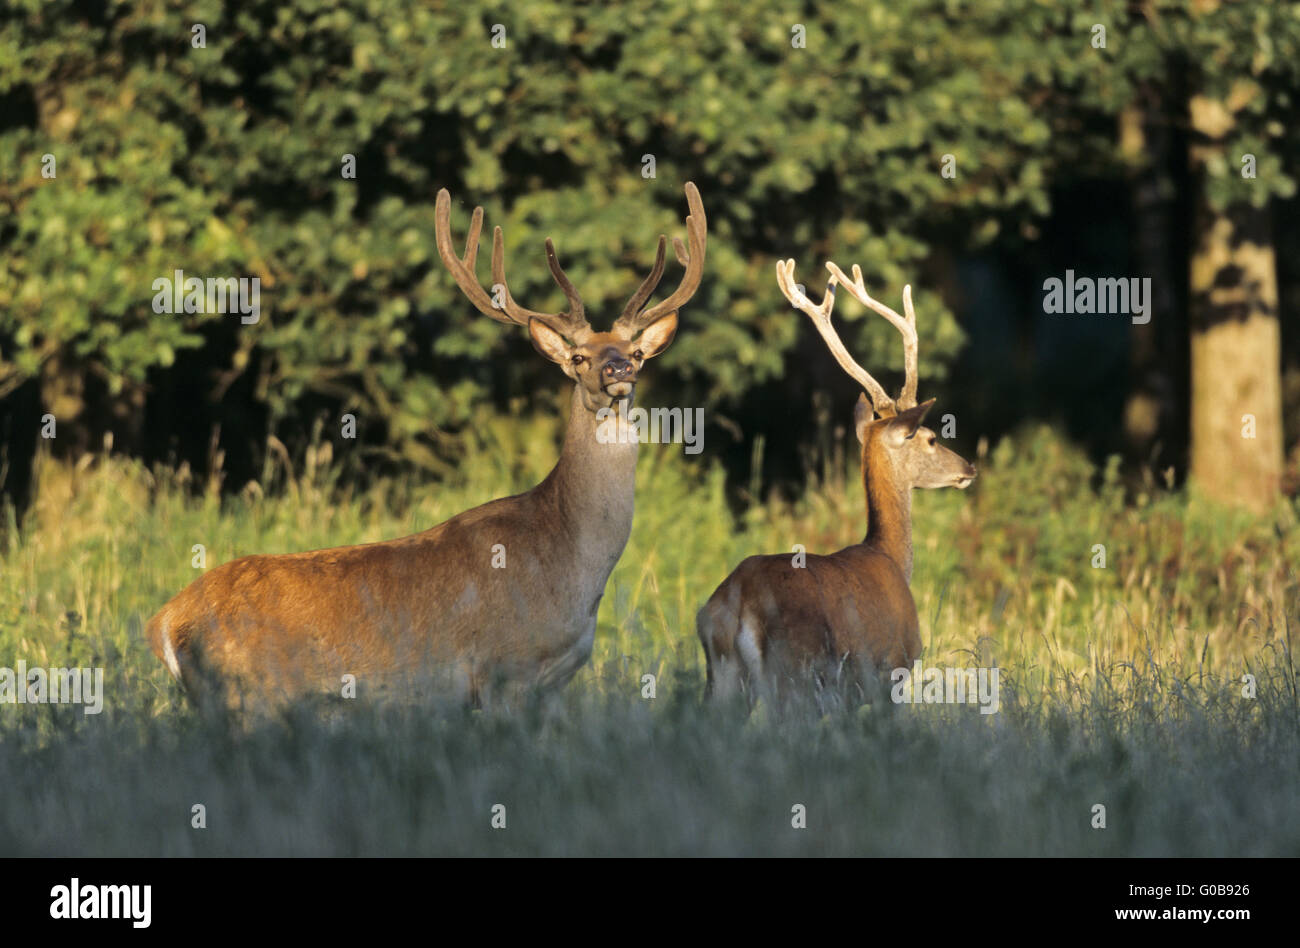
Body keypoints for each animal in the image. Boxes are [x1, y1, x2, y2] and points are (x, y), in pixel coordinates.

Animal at [702, 257, 977, 707]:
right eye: (931, 438)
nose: (968, 468)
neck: (890, 558)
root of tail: (739, 603)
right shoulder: (892, 668)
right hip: (794, 672)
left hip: (722, 679)